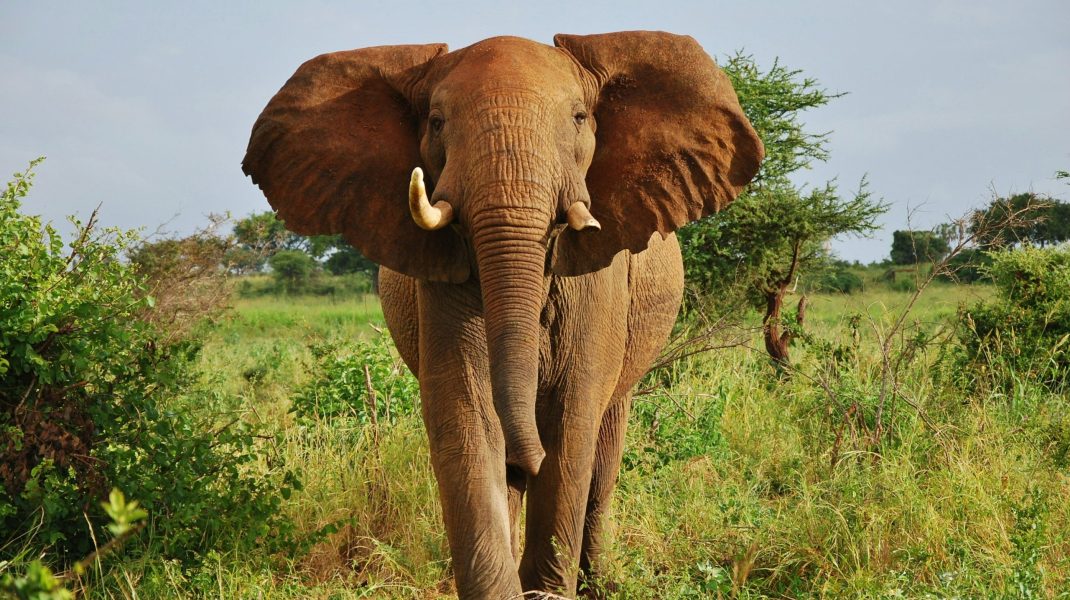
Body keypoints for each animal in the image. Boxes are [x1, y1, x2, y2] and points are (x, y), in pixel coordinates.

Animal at [245, 31, 761, 594]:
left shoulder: (597, 279)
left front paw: (547, 590)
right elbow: (467, 415)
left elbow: (571, 421)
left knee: (603, 458)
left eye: (579, 117)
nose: (526, 459)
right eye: (436, 121)